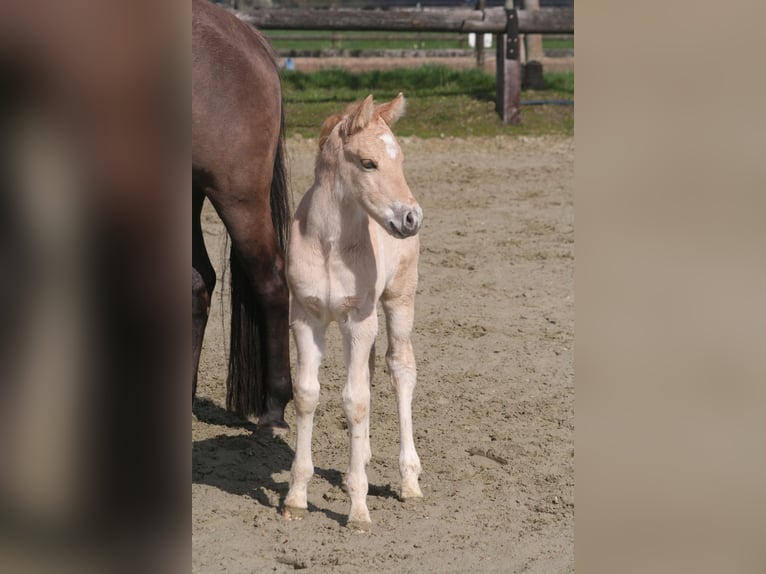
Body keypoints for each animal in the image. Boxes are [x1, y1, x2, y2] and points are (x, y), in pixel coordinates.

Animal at [282, 93, 424, 529]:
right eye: (368, 162)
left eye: (401, 161)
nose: (411, 217)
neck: (329, 243)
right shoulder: (305, 318)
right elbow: (308, 393)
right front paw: (296, 497)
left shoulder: (356, 322)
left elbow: (355, 399)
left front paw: (358, 509)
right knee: (372, 371)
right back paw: (362, 457)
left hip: (397, 300)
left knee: (400, 368)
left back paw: (409, 479)